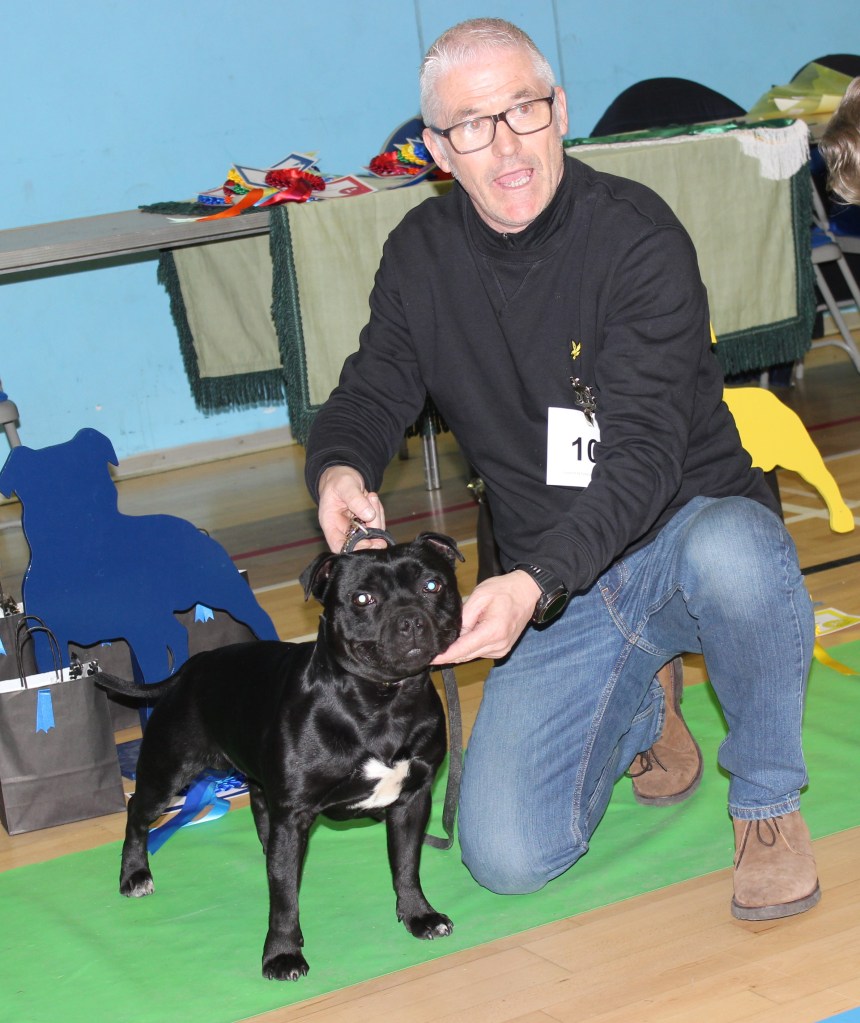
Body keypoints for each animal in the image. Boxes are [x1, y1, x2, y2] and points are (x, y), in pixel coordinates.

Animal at [0, 428, 278, 679]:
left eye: (94, 483)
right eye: (45, 492)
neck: (84, 560)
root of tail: (191, 527)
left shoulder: (142, 631)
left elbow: (152, 667)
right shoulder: (47, 640)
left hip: (222, 588)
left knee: (256, 616)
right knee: (177, 634)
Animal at [95, 532, 463, 981]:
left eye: (432, 585)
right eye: (362, 598)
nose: (410, 620)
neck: (382, 702)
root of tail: (189, 669)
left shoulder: (410, 801)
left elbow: (407, 864)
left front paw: (418, 915)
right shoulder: (295, 812)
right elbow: (285, 897)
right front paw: (283, 952)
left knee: (260, 809)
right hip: (167, 773)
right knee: (137, 815)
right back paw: (134, 874)